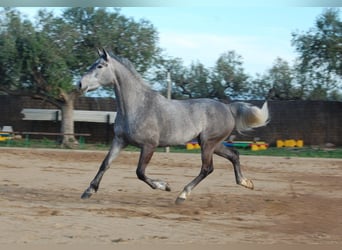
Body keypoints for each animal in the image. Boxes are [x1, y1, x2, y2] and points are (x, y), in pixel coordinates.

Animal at [79, 48, 268, 203]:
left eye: (100, 66)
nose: (80, 84)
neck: (137, 106)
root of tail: (228, 108)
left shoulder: (149, 146)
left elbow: (140, 172)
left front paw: (164, 186)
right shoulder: (120, 140)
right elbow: (105, 164)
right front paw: (88, 191)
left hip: (208, 143)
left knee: (207, 168)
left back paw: (182, 195)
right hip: (214, 143)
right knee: (234, 155)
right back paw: (246, 183)